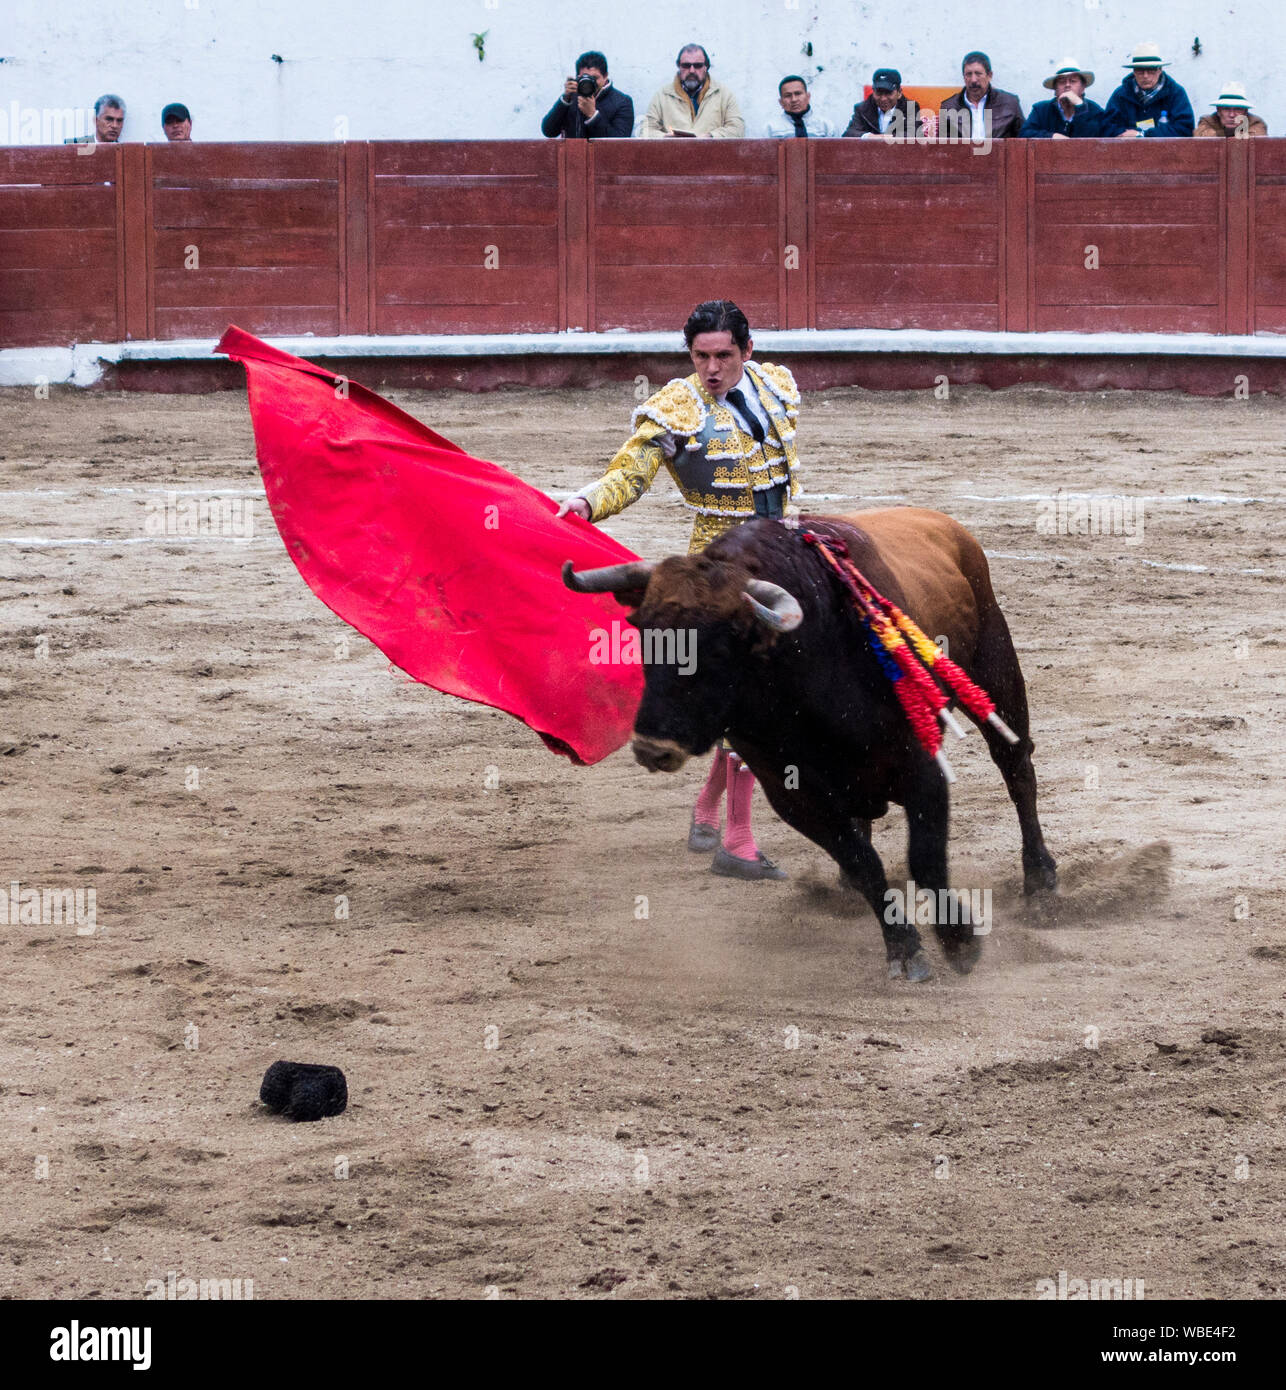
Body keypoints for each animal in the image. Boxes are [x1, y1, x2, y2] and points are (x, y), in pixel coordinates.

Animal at [563, 508, 1057, 983]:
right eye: (644, 634)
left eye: (720, 648)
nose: (653, 747)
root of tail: (949, 528)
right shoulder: (793, 796)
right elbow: (863, 864)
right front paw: (903, 948)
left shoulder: (921, 768)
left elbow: (925, 859)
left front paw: (959, 944)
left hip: (995, 671)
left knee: (1017, 771)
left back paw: (1041, 885)